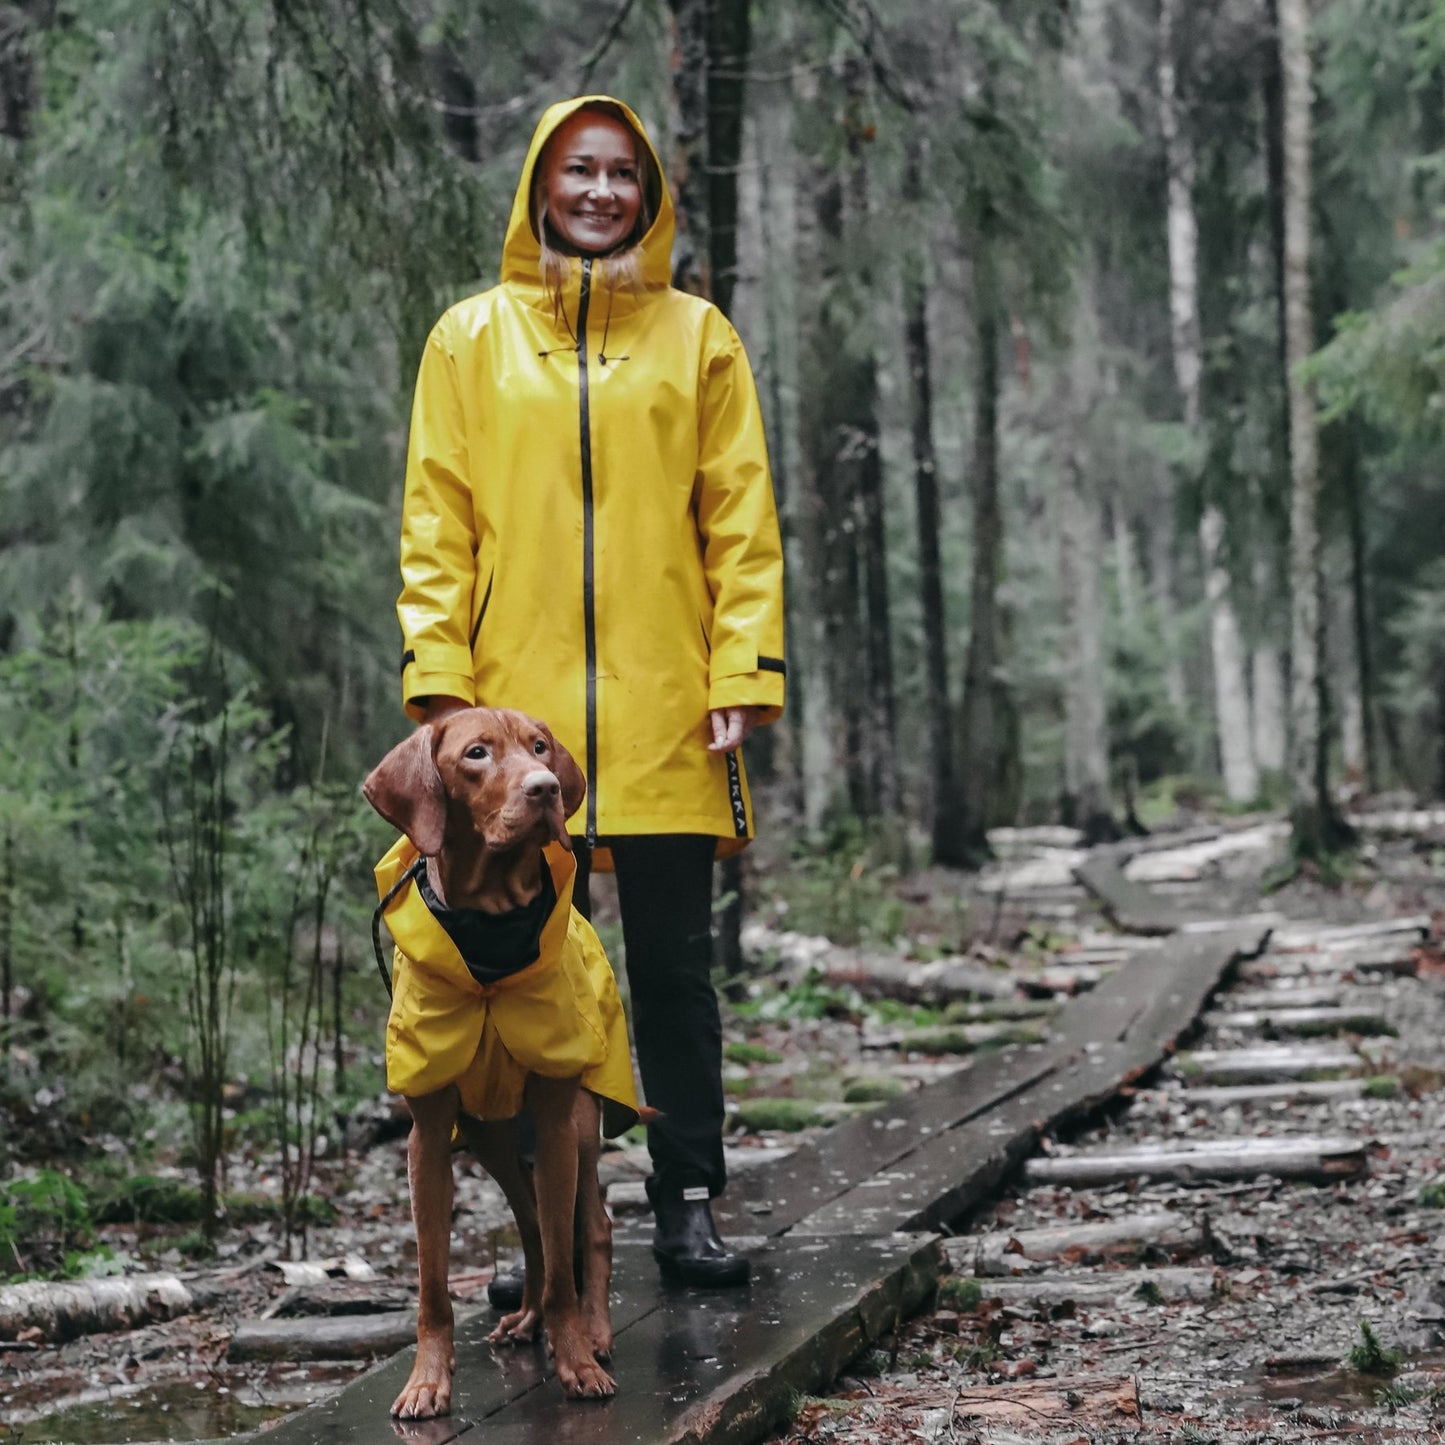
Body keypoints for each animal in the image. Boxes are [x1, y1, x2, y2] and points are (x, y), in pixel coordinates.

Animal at [364, 705, 630, 1416]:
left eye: (540, 747)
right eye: (476, 754)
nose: (546, 788)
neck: (490, 934)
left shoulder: (557, 1121)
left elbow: (569, 1264)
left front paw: (575, 1361)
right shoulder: (429, 1138)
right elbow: (433, 1284)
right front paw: (427, 1381)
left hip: (578, 1126)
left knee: (591, 1227)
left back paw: (593, 1333)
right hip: (491, 1137)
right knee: (534, 1227)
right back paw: (528, 1319)